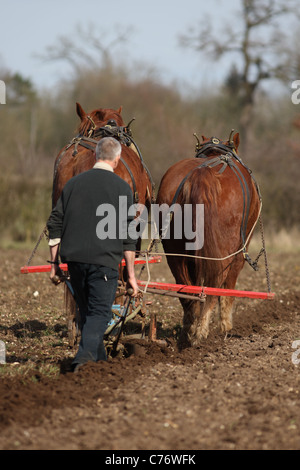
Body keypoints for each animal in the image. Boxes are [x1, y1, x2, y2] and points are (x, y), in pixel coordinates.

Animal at [156, 131, 262, 346]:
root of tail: (202, 174)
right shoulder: (240, 250)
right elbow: (229, 287)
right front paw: (225, 325)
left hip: (175, 250)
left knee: (187, 290)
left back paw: (189, 330)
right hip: (225, 250)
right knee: (215, 285)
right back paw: (202, 331)